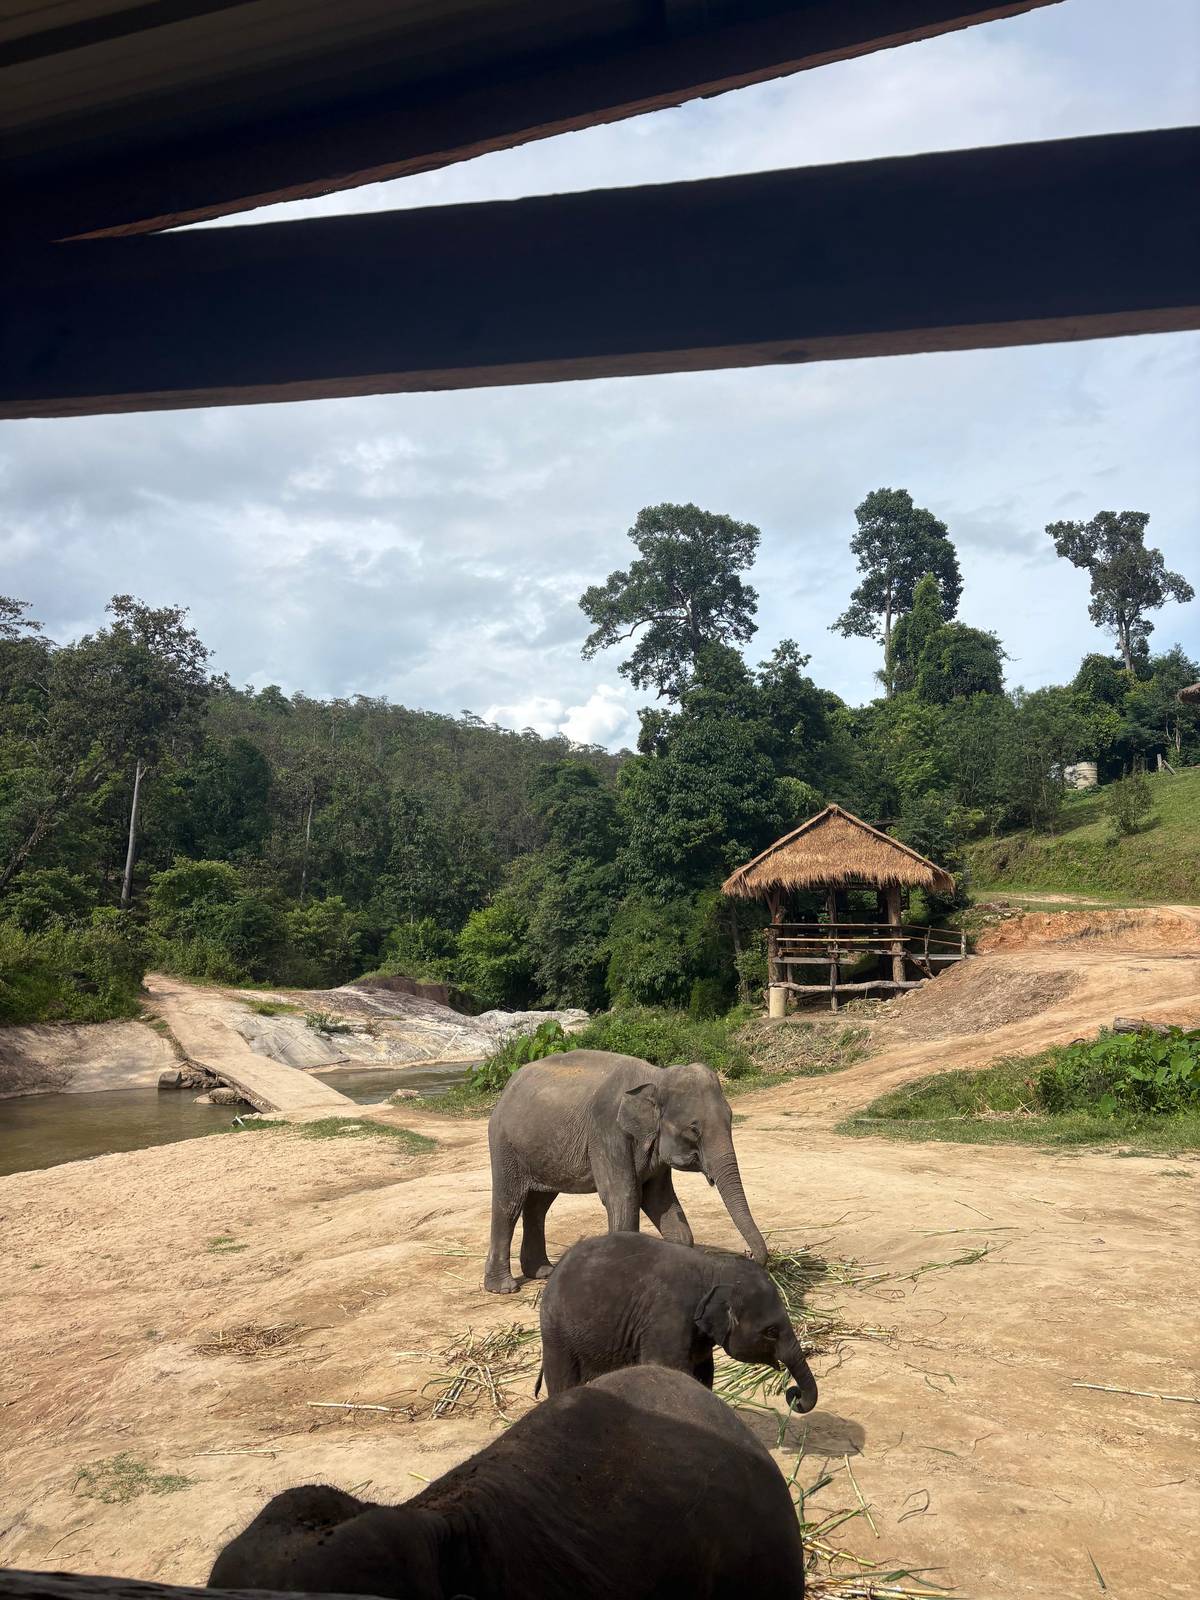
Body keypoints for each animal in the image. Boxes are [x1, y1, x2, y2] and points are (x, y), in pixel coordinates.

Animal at [482, 1049, 768, 1294]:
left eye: (730, 1119)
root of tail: (508, 1087)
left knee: (538, 1205)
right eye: (693, 1129)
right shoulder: (608, 1132)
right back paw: (504, 1287)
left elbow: (659, 1201)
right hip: (505, 1144)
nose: (749, 1254)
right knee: (509, 1204)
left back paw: (542, 1272)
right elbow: (624, 1197)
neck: (656, 1077)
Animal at [536, 1231, 819, 1410]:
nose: (793, 1396)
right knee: (563, 1380)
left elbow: (704, 1372)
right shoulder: (668, 1318)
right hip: (557, 1333)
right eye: (771, 1331)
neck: (713, 1268)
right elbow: (667, 1367)